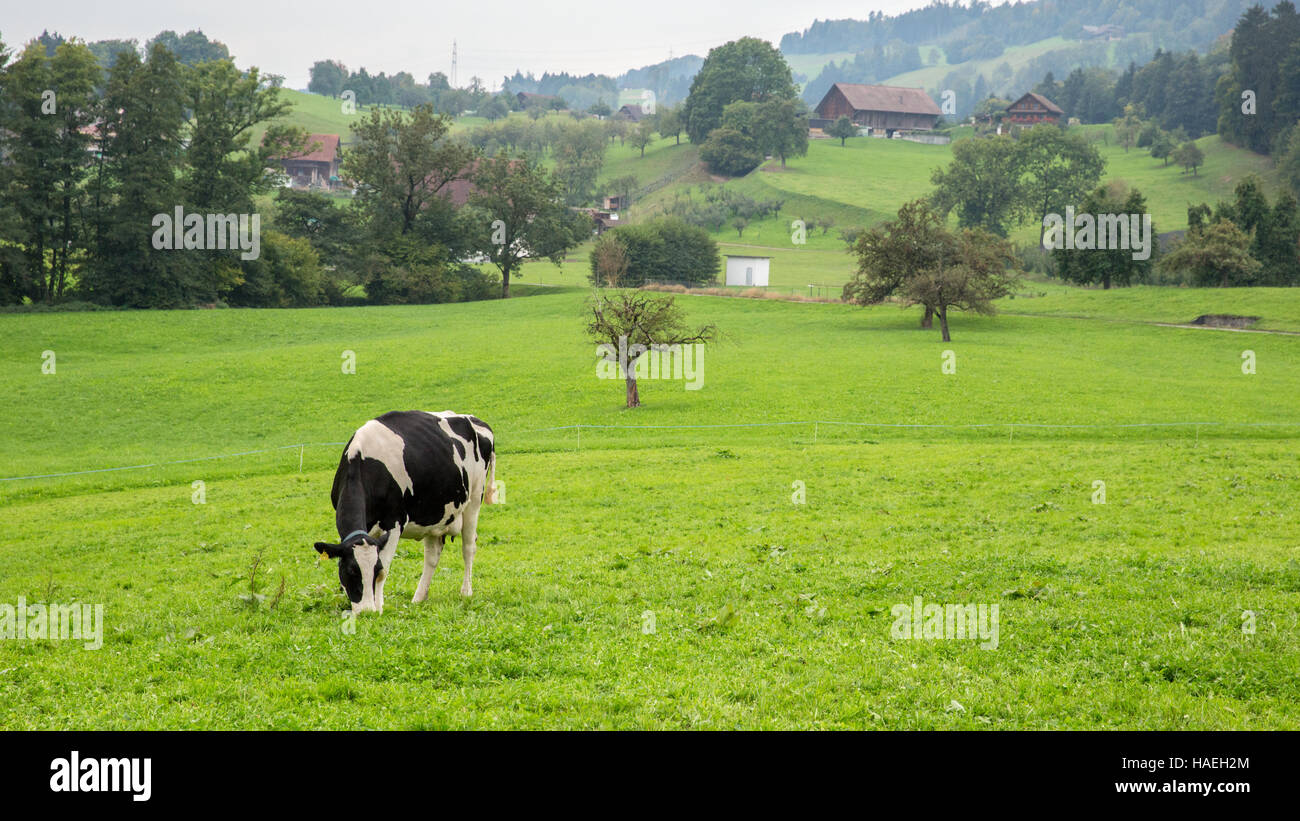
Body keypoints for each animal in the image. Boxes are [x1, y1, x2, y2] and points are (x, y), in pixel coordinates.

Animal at [314, 407, 496, 610]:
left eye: (376, 570)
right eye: (351, 571)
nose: (366, 611)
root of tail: (476, 420)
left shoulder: (394, 522)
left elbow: (386, 567)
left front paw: (378, 607)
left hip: (474, 498)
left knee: (468, 546)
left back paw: (466, 592)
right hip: (435, 514)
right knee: (432, 556)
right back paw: (419, 597)